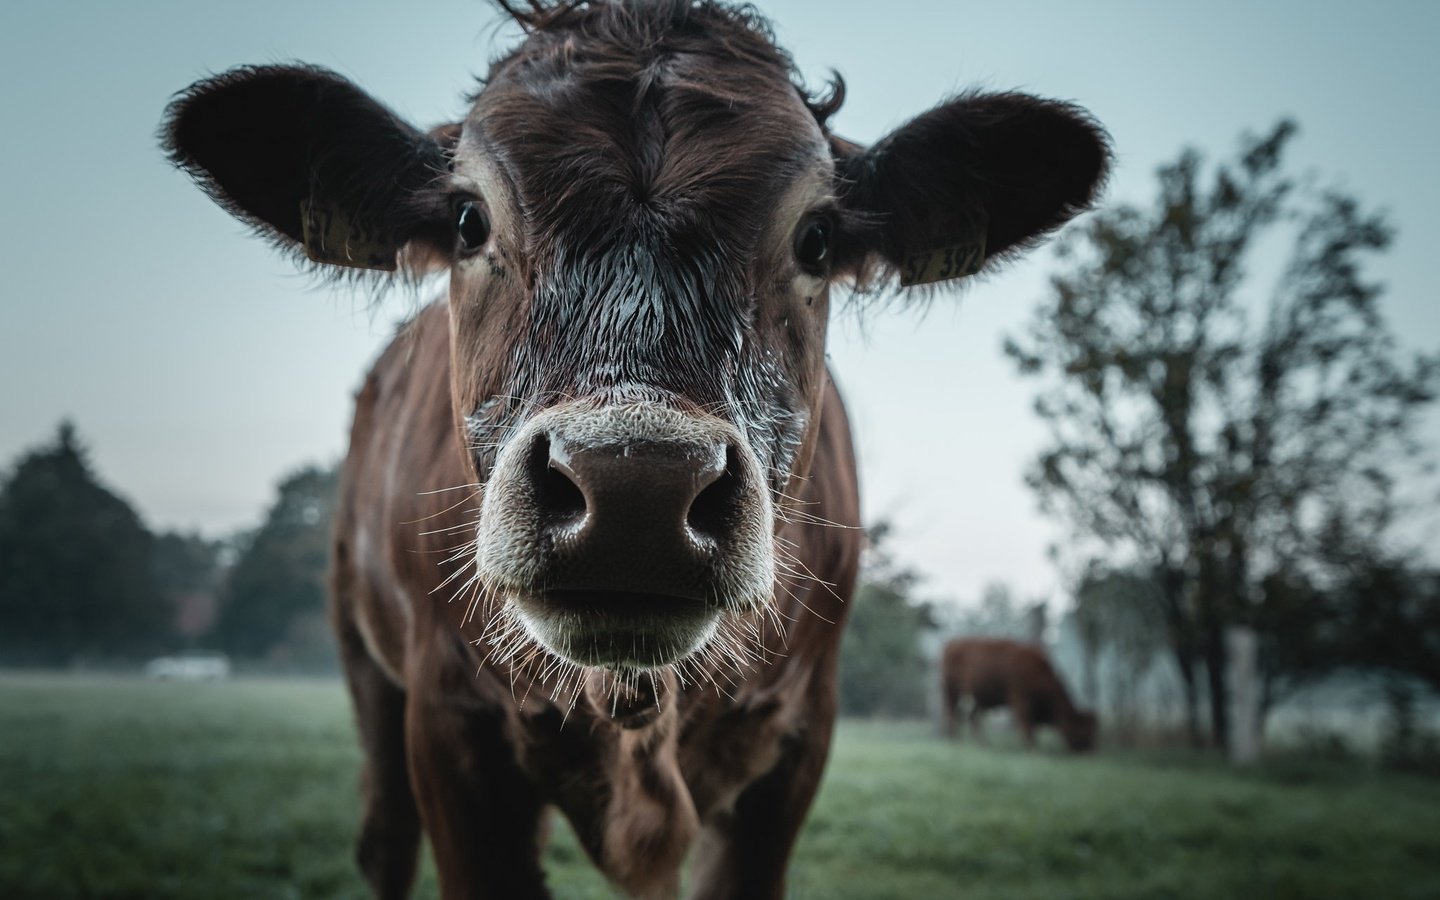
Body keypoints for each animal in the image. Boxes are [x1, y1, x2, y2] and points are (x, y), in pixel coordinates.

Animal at [938, 636, 1094, 754]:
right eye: (1081, 728)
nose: (1088, 749)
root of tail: (951, 644)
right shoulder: (1020, 699)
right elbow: (1027, 723)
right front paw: (1031, 748)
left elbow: (1032, 726)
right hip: (952, 693)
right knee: (953, 714)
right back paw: (955, 739)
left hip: (976, 698)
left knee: (971, 717)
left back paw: (982, 743)